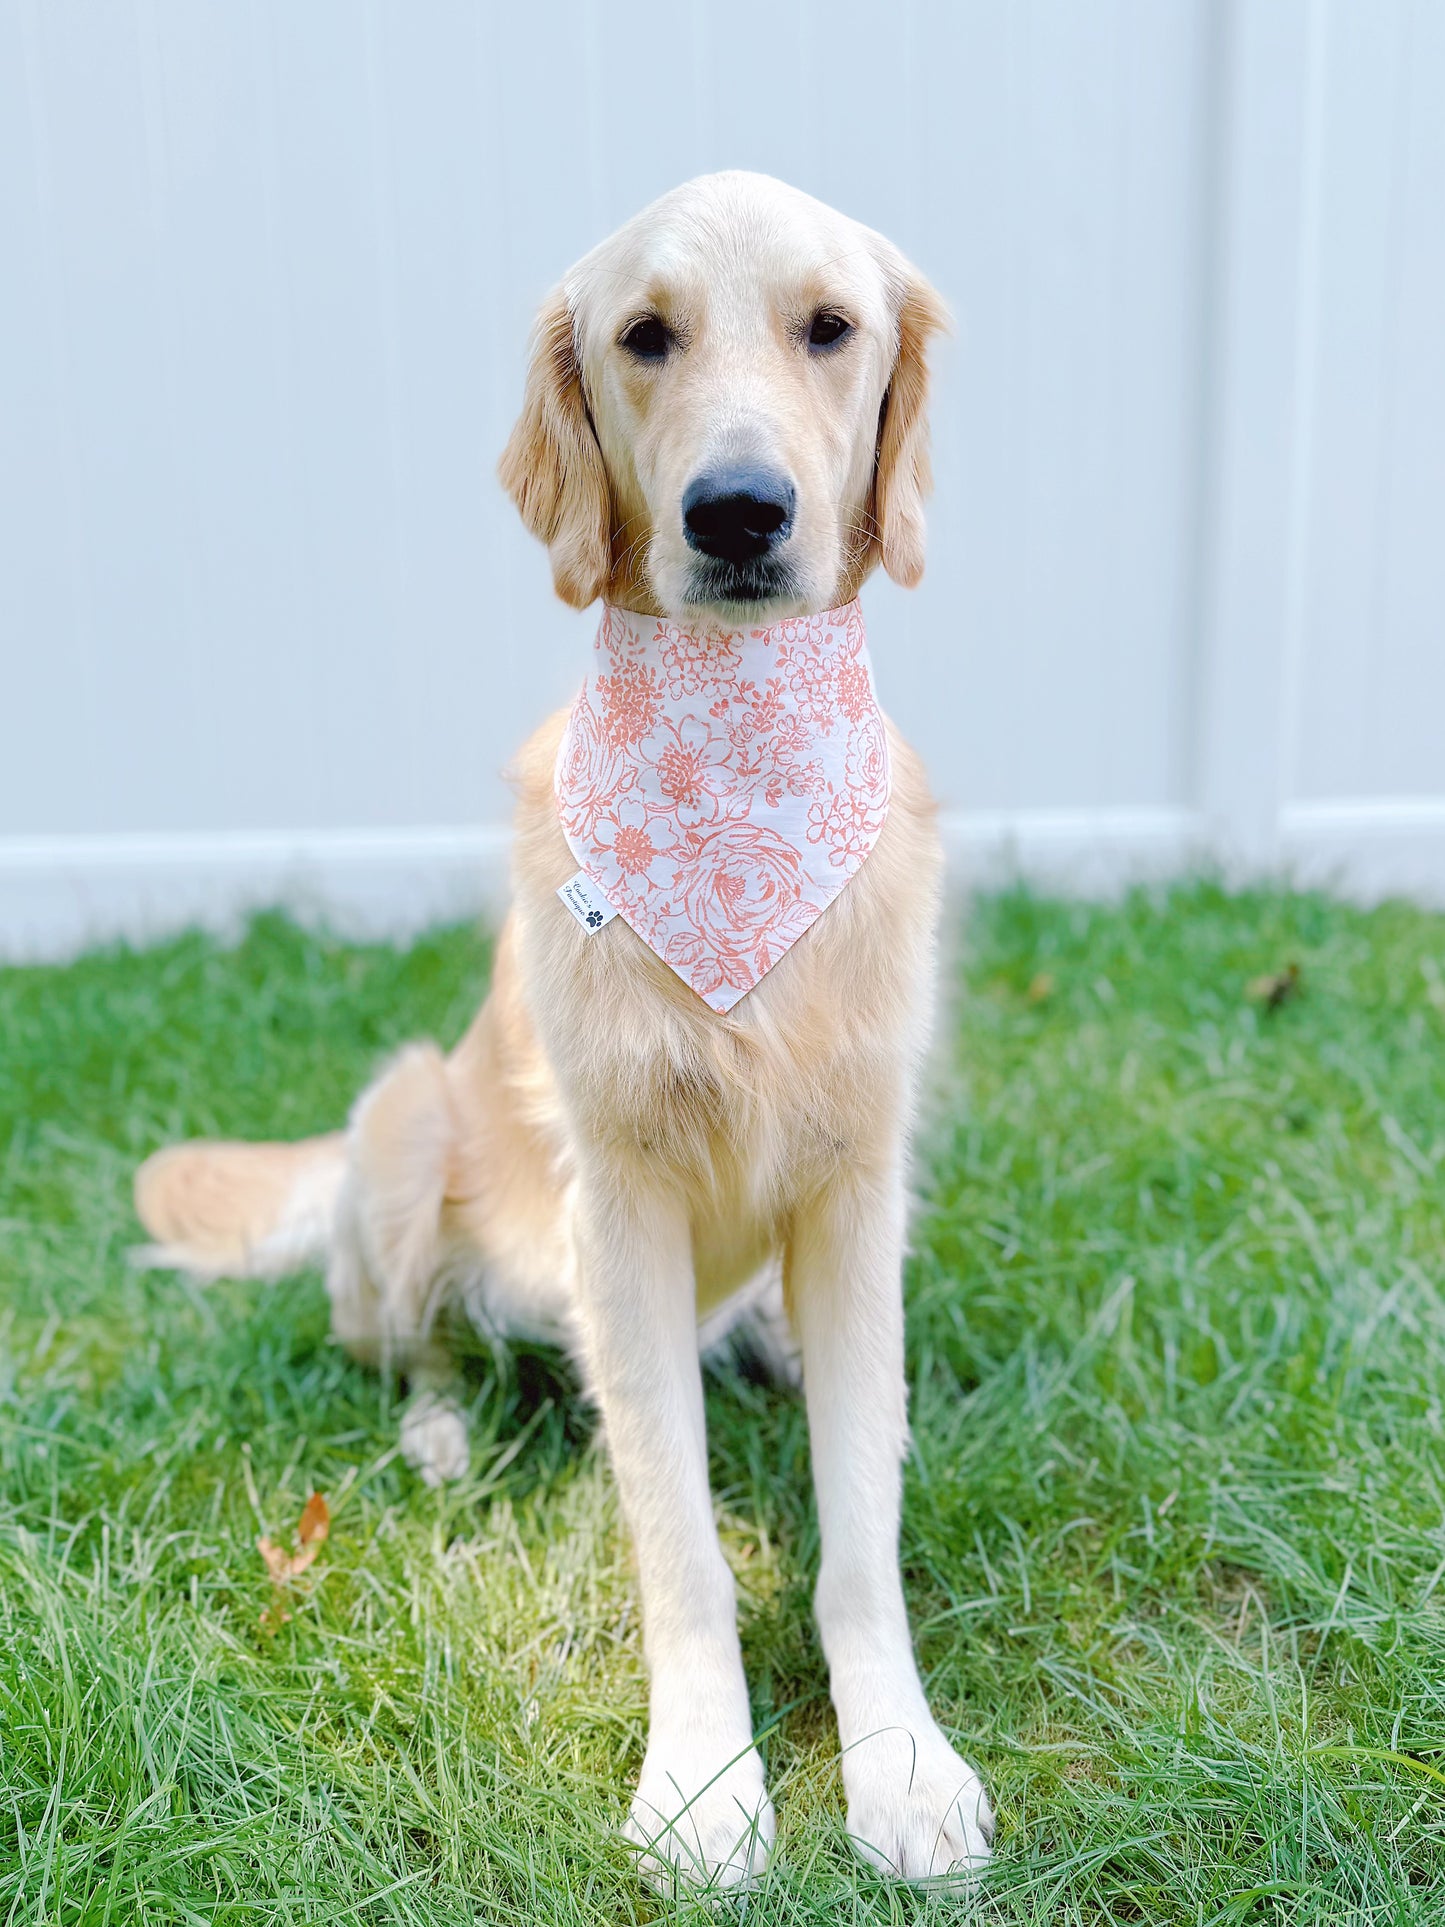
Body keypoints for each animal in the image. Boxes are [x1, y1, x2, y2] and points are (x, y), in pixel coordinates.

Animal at [135, 173, 994, 1888]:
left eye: (831, 326)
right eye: (644, 336)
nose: (738, 512)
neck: (734, 790)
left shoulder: (857, 1187)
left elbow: (859, 1531)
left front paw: (900, 1760)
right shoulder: (622, 1205)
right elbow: (678, 1541)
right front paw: (704, 1781)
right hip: (403, 1125)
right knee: (407, 1344)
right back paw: (441, 1434)